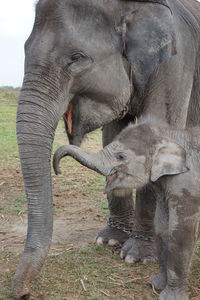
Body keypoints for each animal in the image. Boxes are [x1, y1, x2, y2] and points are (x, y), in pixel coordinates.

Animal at [53, 122, 200, 300]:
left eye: (121, 156)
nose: (58, 170)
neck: (169, 134)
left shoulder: (187, 187)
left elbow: (180, 234)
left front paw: (170, 297)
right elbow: (162, 228)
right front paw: (155, 285)